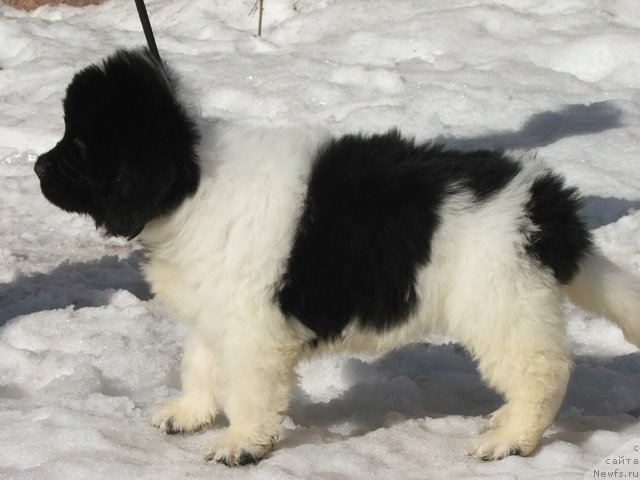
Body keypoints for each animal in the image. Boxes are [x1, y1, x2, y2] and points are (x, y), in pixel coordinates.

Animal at [33, 48, 640, 464]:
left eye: (81, 145)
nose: (37, 167)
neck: (191, 183)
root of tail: (546, 203)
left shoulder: (254, 328)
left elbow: (247, 388)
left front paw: (241, 443)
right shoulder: (217, 308)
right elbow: (201, 364)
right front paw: (191, 413)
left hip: (501, 301)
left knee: (543, 372)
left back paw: (513, 439)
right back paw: (506, 420)